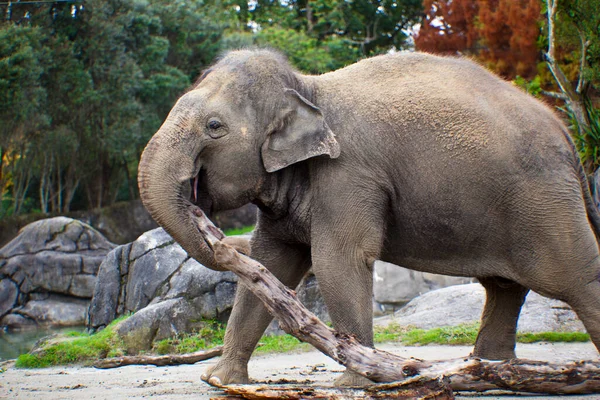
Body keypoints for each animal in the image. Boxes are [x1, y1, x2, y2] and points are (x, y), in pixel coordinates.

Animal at [138, 48, 600, 386]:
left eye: (214, 127)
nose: (209, 223)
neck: (307, 87)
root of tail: (567, 135)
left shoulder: (348, 173)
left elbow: (338, 262)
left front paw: (354, 384)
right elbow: (270, 265)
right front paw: (219, 381)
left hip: (543, 200)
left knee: (573, 277)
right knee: (504, 287)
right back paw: (488, 372)